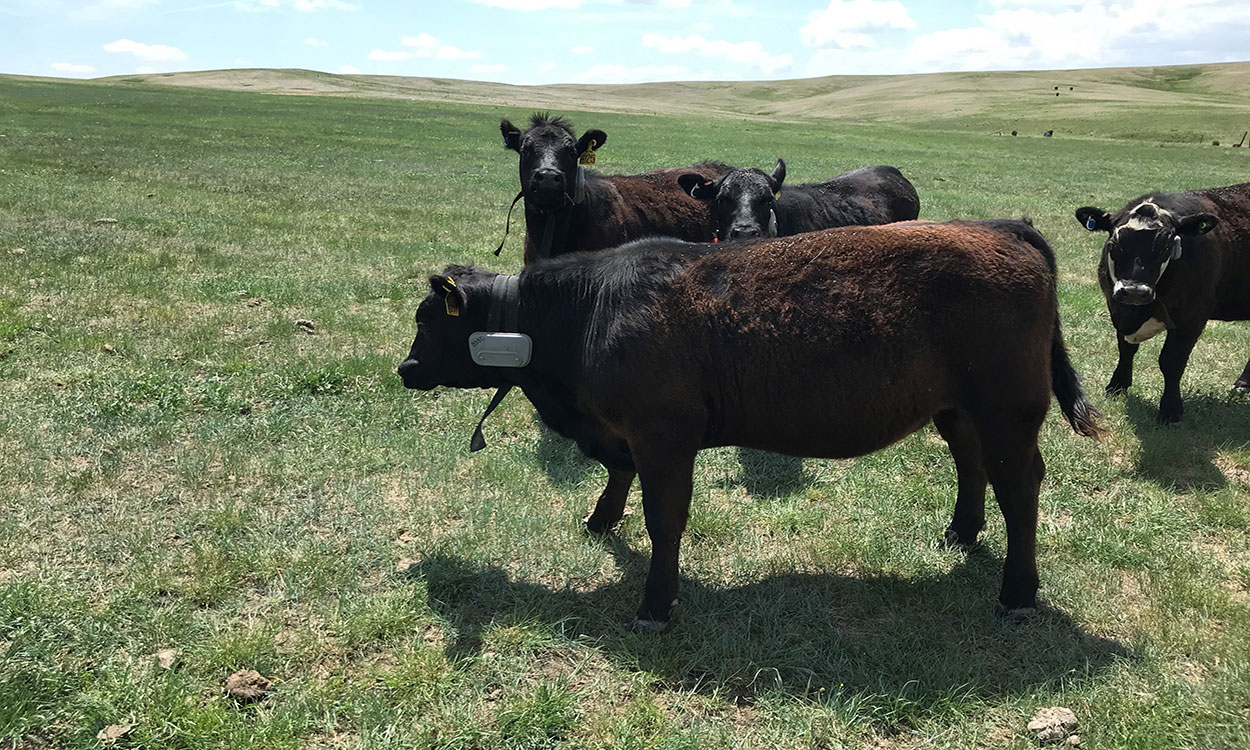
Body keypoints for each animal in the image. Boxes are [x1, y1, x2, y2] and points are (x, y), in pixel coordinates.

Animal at [395, 218, 1100, 632]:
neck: (590, 309)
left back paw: (1017, 592)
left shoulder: (664, 436)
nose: (405, 368)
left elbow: (664, 520)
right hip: (958, 409)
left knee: (1020, 488)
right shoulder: (626, 435)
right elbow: (619, 478)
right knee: (971, 463)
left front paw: (656, 603)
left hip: (1010, 411)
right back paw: (960, 533)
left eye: (428, 319)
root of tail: (1002, 227)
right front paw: (600, 521)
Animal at [1075, 182, 1250, 422]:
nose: (1134, 291)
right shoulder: (1115, 307)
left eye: (1166, 247)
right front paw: (1117, 385)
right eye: (1114, 244)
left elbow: (1171, 361)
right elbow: (1125, 349)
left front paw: (1170, 410)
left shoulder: (1192, 317)